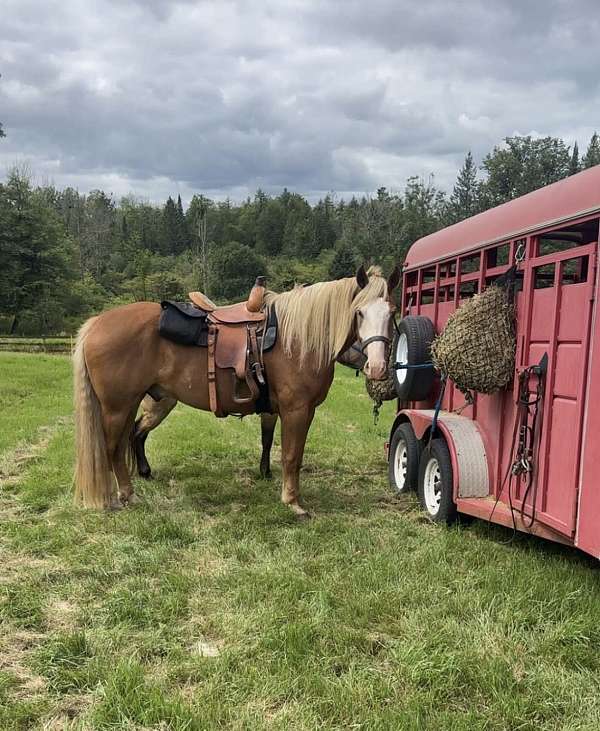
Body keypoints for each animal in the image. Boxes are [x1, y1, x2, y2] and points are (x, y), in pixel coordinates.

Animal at [131, 341, 369, 481]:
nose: (369, 363)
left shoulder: (272, 413)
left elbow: (267, 440)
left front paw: (265, 470)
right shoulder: (273, 413)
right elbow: (268, 440)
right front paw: (266, 472)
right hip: (158, 407)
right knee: (137, 433)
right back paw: (144, 472)